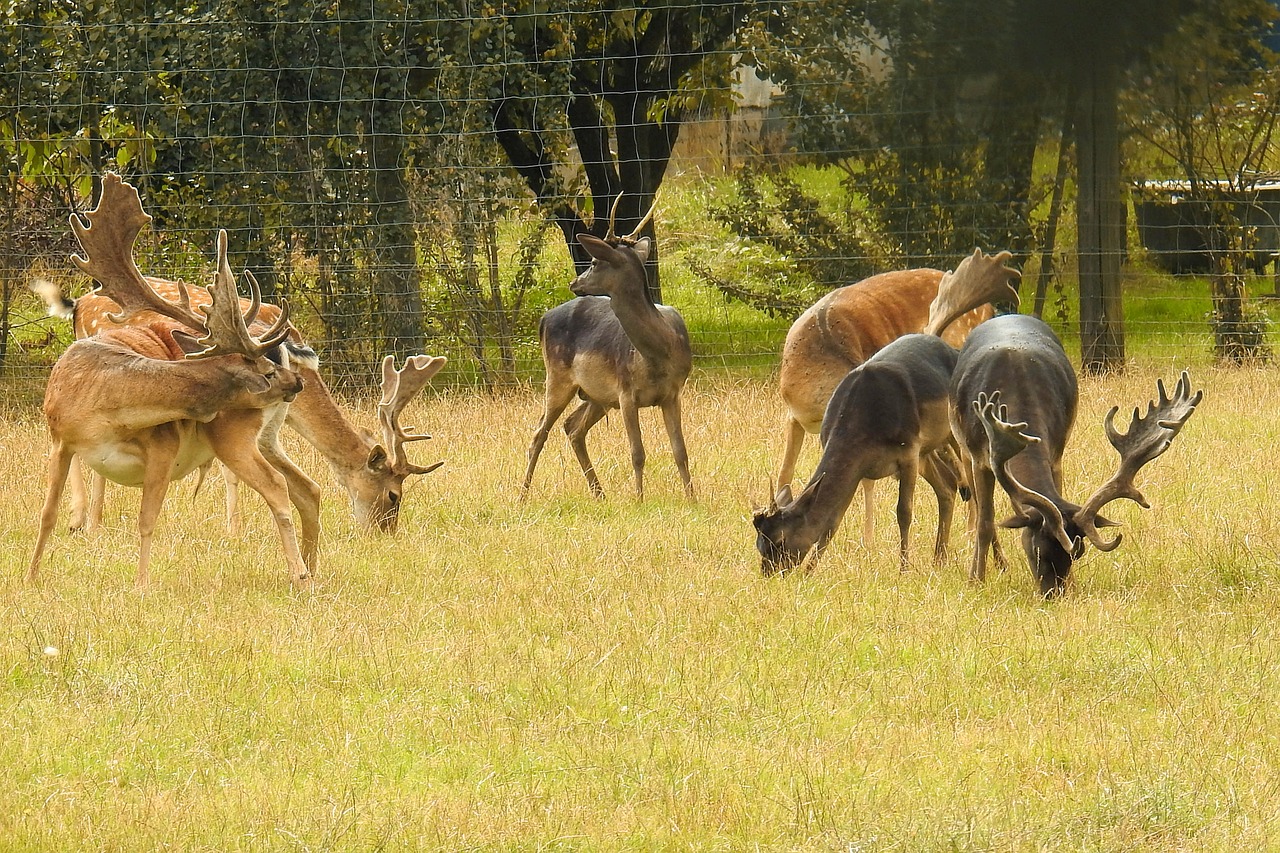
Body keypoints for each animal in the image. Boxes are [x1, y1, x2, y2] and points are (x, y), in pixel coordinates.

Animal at [29, 172, 312, 584]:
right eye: (268, 370)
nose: (297, 383)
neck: (104, 410)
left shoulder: (163, 444)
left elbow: (147, 520)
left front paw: (141, 585)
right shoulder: (59, 440)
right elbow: (47, 515)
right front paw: (31, 576)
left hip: (236, 437)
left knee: (284, 487)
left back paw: (302, 573)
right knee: (301, 488)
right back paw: (309, 567)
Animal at [517, 201, 691, 499]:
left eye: (595, 262)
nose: (574, 282)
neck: (658, 354)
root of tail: (543, 319)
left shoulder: (672, 393)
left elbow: (680, 451)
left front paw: (693, 498)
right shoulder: (625, 391)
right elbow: (637, 453)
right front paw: (639, 499)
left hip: (596, 395)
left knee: (572, 427)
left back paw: (599, 493)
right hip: (557, 376)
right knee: (539, 432)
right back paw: (522, 495)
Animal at [747, 249, 1018, 573]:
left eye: (778, 541)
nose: (768, 572)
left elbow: (892, 503)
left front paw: (877, 549)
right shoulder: (794, 416)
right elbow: (790, 477)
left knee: (973, 477)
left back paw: (978, 537)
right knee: (948, 486)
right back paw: (946, 543)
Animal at [952, 308, 1198, 594]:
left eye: (1073, 557)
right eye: (1037, 550)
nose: (1054, 593)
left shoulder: (1056, 452)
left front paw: (1074, 584)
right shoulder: (980, 457)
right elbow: (985, 522)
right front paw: (975, 580)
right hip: (964, 449)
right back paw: (998, 564)